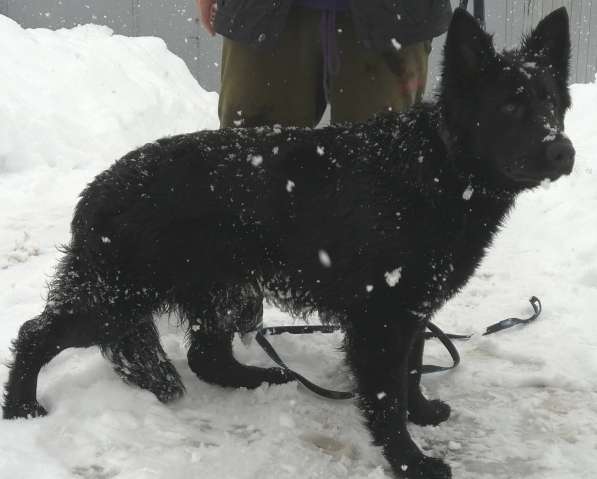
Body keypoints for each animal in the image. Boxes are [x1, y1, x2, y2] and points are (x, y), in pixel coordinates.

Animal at [3, 8, 572, 479]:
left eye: (550, 101)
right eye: (508, 106)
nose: (563, 151)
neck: (439, 166)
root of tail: (100, 188)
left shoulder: (410, 310)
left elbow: (411, 370)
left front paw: (424, 412)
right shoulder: (382, 317)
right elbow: (386, 396)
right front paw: (409, 461)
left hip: (219, 284)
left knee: (207, 356)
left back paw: (258, 377)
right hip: (121, 294)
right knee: (35, 332)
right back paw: (21, 408)